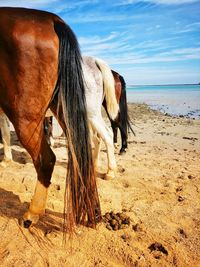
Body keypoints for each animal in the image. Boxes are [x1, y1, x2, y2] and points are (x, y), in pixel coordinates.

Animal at [0, 6, 100, 232]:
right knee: (83, 157)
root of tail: (53, 20)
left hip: (24, 117)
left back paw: (32, 214)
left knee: (46, 160)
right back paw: (94, 214)